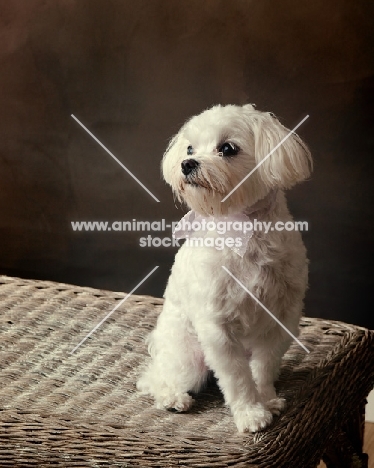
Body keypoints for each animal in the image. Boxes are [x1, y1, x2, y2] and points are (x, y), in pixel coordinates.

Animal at [138, 104, 312, 434]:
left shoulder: (281, 320)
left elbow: (264, 367)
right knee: (155, 378)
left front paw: (266, 399)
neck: (242, 226)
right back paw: (172, 397)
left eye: (227, 149)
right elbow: (237, 378)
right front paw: (251, 414)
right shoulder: (217, 328)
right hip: (188, 356)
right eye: (190, 148)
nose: (187, 163)